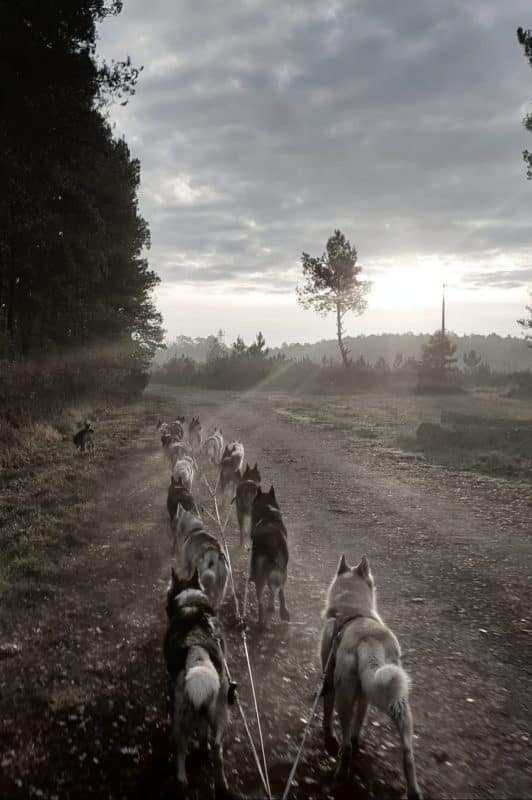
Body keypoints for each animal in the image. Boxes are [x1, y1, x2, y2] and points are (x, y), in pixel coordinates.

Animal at [165, 568, 230, 792]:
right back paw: (221, 783)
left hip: (181, 718)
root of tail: (197, 651)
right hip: (220, 713)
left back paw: (181, 778)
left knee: (181, 750)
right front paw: (203, 745)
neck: (190, 604)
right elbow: (203, 732)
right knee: (218, 748)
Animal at [248, 484, 288, 628]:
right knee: (280, 591)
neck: (267, 511)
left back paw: (261, 621)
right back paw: (281, 612)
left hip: (263, 576)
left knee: (262, 600)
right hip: (282, 571)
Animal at [320, 556, 424, 800]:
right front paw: (358, 738)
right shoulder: (364, 698)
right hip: (399, 703)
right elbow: (360, 721)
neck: (352, 611)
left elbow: (327, 713)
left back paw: (341, 773)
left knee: (346, 745)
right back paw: (413, 791)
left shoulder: (329, 681)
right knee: (408, 754)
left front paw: (328, 734)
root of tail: (369, 640)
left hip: (343, 697)